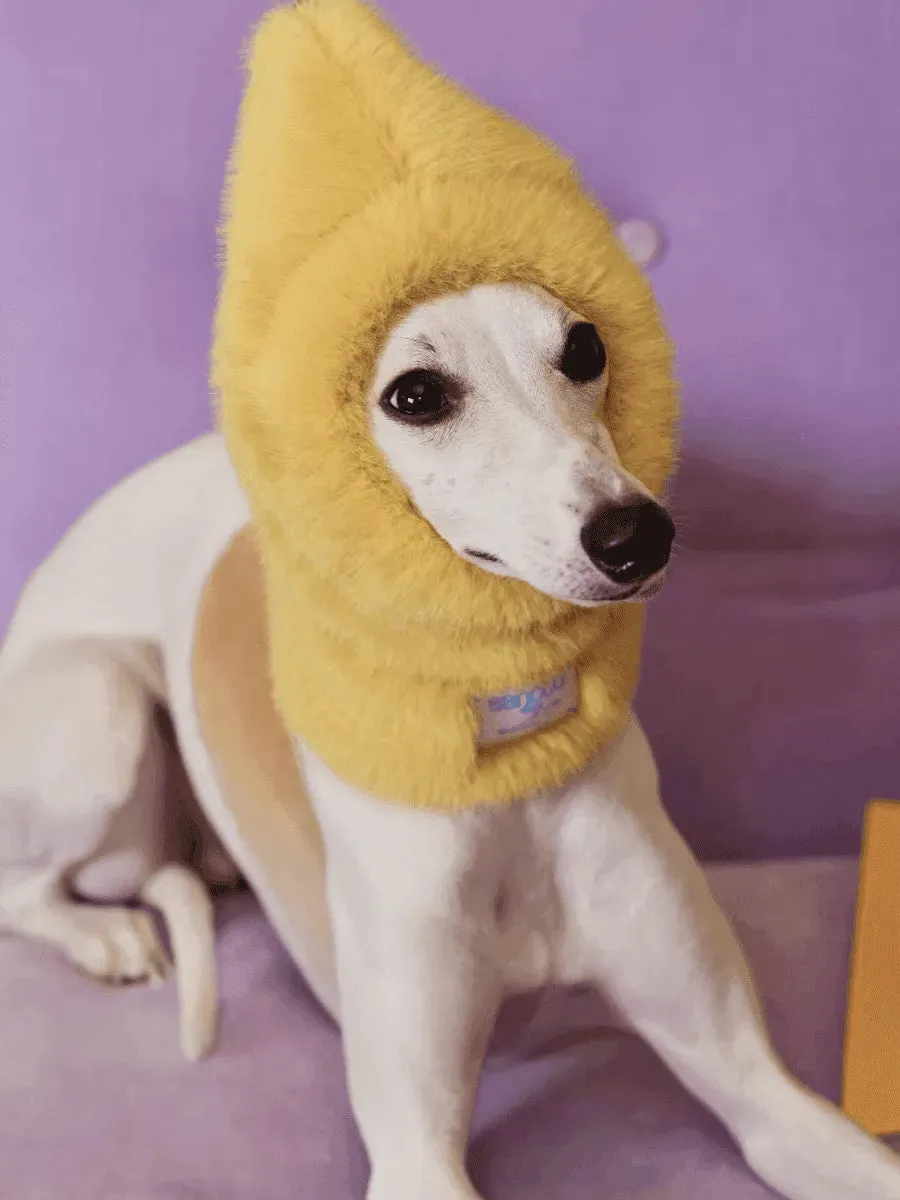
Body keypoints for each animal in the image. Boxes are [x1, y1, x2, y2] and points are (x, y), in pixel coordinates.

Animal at [1, 283, 900, 1200]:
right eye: (416, 394)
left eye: (585, 348)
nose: (636, 535)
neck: (509, 773)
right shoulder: (415, 1156)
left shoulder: (758, 1087)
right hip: (99, 711)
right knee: (24, 887)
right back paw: (103, 937)